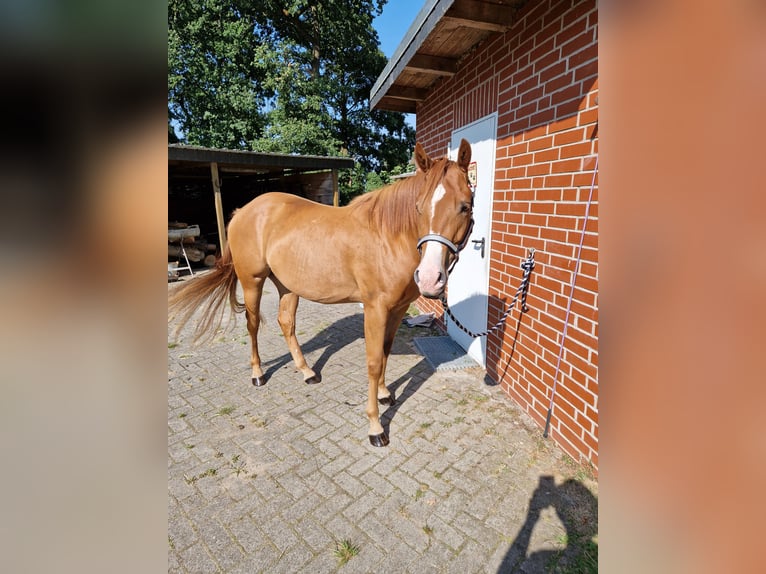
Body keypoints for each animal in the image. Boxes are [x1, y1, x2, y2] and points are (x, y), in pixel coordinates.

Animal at [168, 140, 474, 446]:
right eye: (419, 208)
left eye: (465, 206)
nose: (430, 278)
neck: (389, 237)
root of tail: (242, 212)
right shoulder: (375, 309)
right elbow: (374, 361)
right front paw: (375, 427)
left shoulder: (397, 309)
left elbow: (385, 352)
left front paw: (385, 394)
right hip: (252, 281)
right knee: (253, 325)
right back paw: (257, 374)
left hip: (288, 286)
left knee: (286, 323)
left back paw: (307, 372)